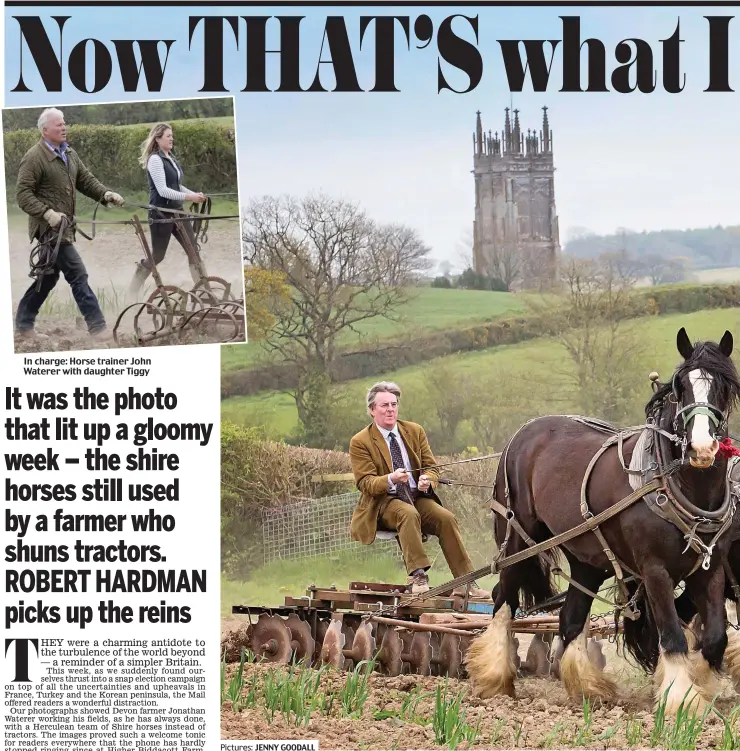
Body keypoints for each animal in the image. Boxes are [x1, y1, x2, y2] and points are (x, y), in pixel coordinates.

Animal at [468, 328, 740, 712]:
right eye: (680, 387)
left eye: (724, 386)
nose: (701, 448)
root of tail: (525, 431)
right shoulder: (654, 571)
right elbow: (672, 636)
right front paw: (681, 701)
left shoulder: (712, 569)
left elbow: (714, 636)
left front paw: (699, 683)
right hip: (516, 539)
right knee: (503, 599)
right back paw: (494, 679)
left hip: (588, 559)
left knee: (570, 619)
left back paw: (587, 690)